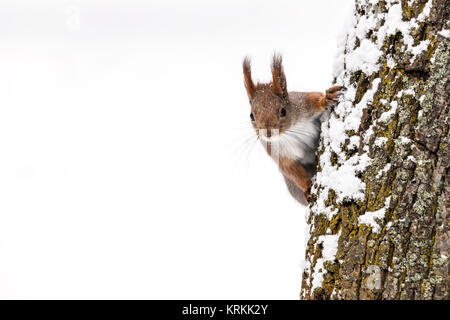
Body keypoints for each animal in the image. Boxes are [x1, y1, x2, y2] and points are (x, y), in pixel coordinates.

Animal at [243, 54, 342, 205]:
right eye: (251, 116)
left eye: (283, 111)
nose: (268, 132)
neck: (290, 131)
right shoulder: (277, 152)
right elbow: (293, 172)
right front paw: (307, 188)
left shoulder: (303, 104)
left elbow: (314, 99)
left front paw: (326, 99)